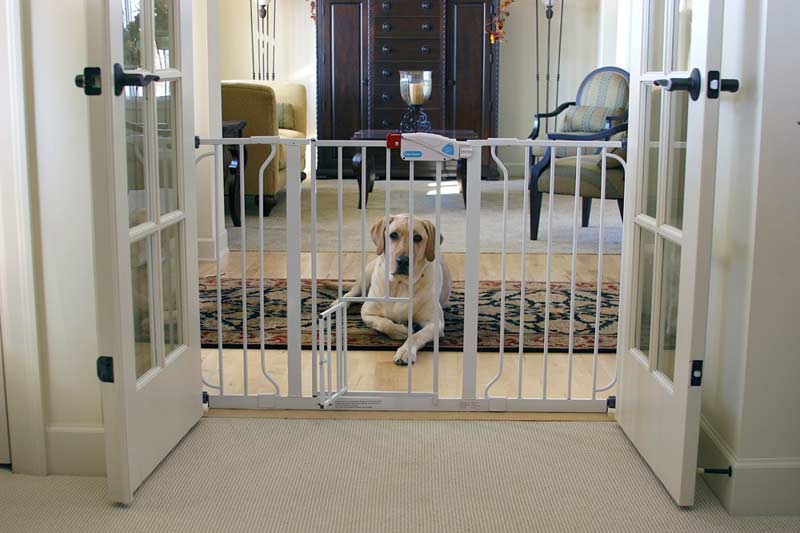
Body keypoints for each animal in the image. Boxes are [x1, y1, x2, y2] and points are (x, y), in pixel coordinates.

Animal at [344, 214, 450, 364]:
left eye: (417, 238)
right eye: (393, 235)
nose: (403, 260)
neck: (400, 284)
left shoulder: (435, 323)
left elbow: (416, 336)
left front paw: (405, 351)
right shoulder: (366, 313)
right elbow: (384, 323)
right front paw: (402, 331)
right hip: (365, 276)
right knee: (351, 293)